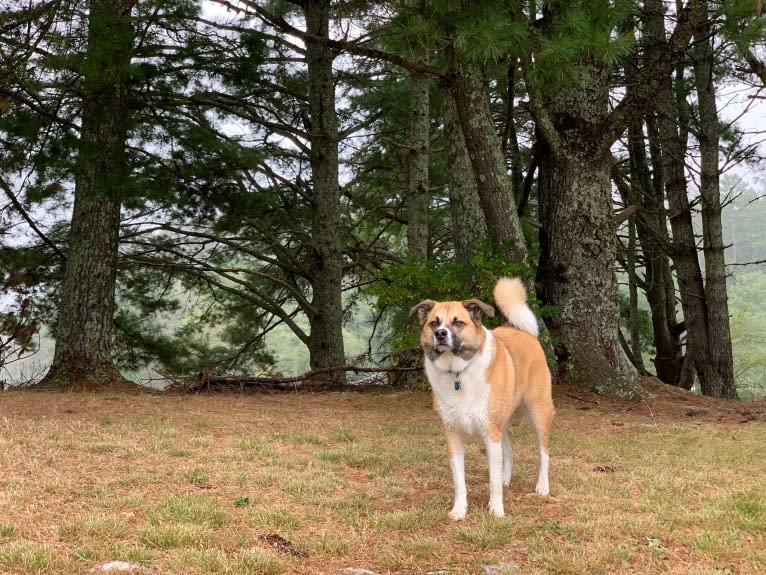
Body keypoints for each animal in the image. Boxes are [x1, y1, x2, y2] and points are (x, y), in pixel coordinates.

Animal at [412, 276, 556, 520]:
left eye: (458, 323)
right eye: (434, 323)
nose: (440, 334)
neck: (458, 373)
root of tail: (523, 331)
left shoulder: (491, 433)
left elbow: (493, 480)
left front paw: (496, 510)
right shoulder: (453, 434)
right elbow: (459, 481)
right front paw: (459, 509)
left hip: (538, 411)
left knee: (543, 452)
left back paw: (542, 486)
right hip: (502, 419)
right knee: (509, 450)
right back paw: (508, 479)